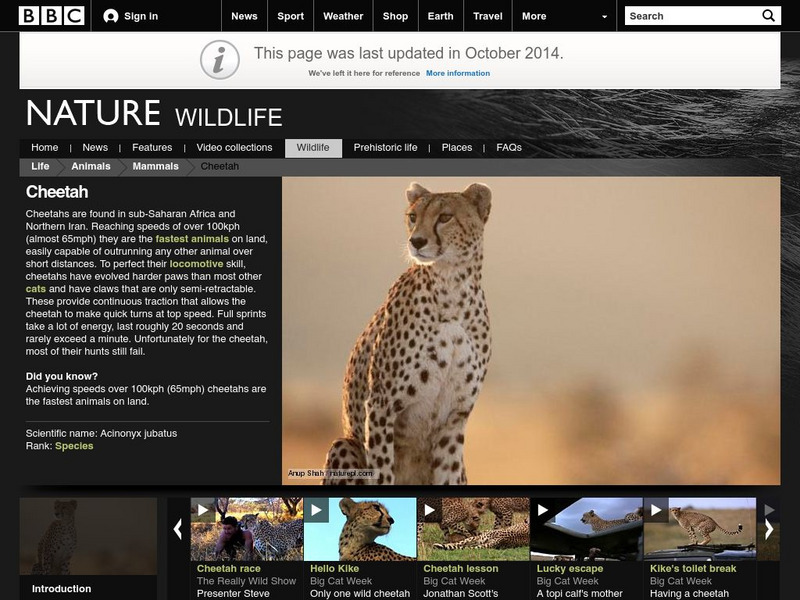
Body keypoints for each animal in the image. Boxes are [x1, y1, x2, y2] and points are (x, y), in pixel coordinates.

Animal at [323, 182, 492, 485]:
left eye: (445, 217)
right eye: (413, 217)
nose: (417, 241)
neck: (452, 290)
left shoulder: (454, 418)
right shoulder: (381, 405)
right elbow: (382, 472)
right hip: (344, 444)